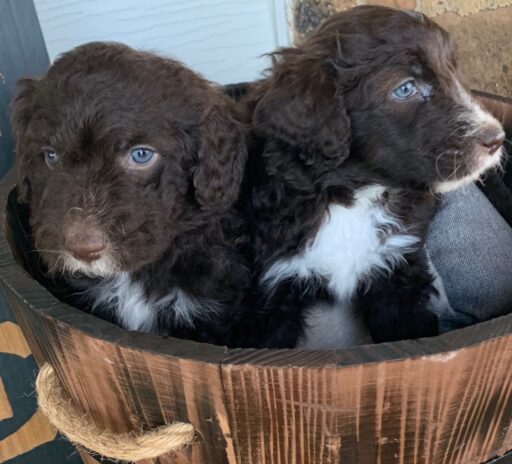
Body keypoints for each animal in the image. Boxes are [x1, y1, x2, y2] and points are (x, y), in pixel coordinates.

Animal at [234, 4, 506, 348]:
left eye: (454, 73)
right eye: (405, 88)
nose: (497, 138)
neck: (352, 196)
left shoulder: (399, 269)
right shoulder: (271, 288)